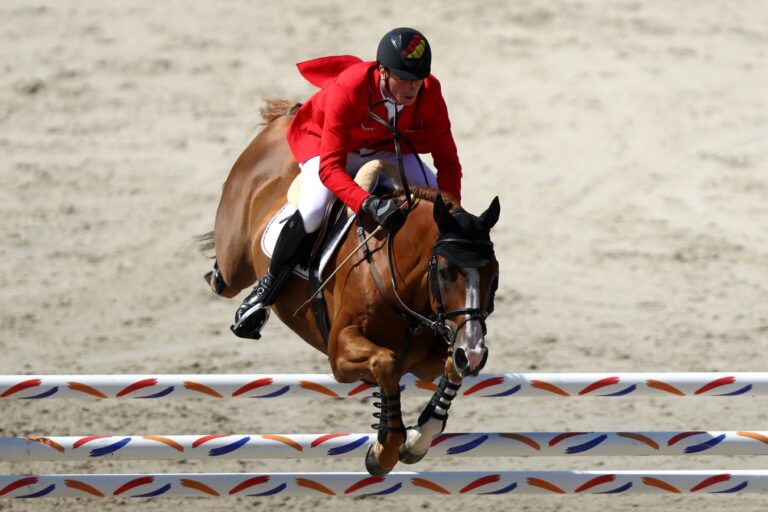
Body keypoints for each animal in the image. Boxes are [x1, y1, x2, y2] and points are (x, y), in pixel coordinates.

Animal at [205, 99, 500, 475]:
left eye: (494, 274)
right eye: (446, 272)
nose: (474, 351)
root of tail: (286, 118)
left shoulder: (434, 354)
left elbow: (450, 366)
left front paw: (418, 438)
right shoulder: (340, 353)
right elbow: (386, 363)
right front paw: (384, 449)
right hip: (235, 260)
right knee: (226, 276)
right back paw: (250, 305)